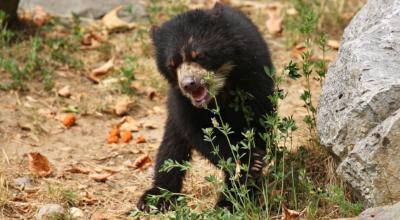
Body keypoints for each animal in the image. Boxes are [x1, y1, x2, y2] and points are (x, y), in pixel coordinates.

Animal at [138, 1, 276, 211]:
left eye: (200, 55)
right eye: (172, 64)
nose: (189, 84)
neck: (220, 89)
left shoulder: (253, 74)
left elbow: (258, 121)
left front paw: (240, 189)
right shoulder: (181, 99)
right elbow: (197, 130)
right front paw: (248, 161)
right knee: (171, 147)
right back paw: (155, 197)